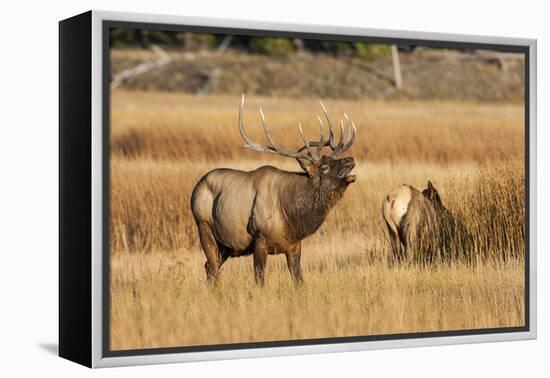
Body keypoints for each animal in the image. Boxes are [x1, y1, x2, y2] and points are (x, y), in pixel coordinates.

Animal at [192, 96, 360, 284]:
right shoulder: (259, 239)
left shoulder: (294, 245)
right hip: (203, 226)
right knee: (212, 265)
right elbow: (259, 279)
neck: (291, 215)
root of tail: (196, 188)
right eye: (324, 167)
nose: (349, 159)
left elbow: (298, 280)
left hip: (227, 246)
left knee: (209, 266)